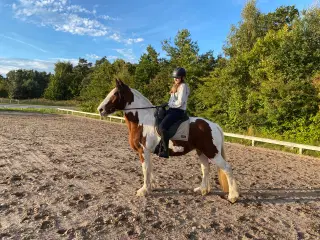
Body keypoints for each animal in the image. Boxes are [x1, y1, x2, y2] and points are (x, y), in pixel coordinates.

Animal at [98, 79, 240, 203]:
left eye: (115, 93)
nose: (100, 109)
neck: (143, 121)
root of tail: (214, 125)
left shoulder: (143, 151)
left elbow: (145, 169)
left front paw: (143, 190)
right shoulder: (147, 152)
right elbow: (149, 169)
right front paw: (151, 187)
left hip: (212, 152)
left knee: (227, 168)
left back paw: (233, 196)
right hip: (201, 151)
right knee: (205, 168)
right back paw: (203, 190)